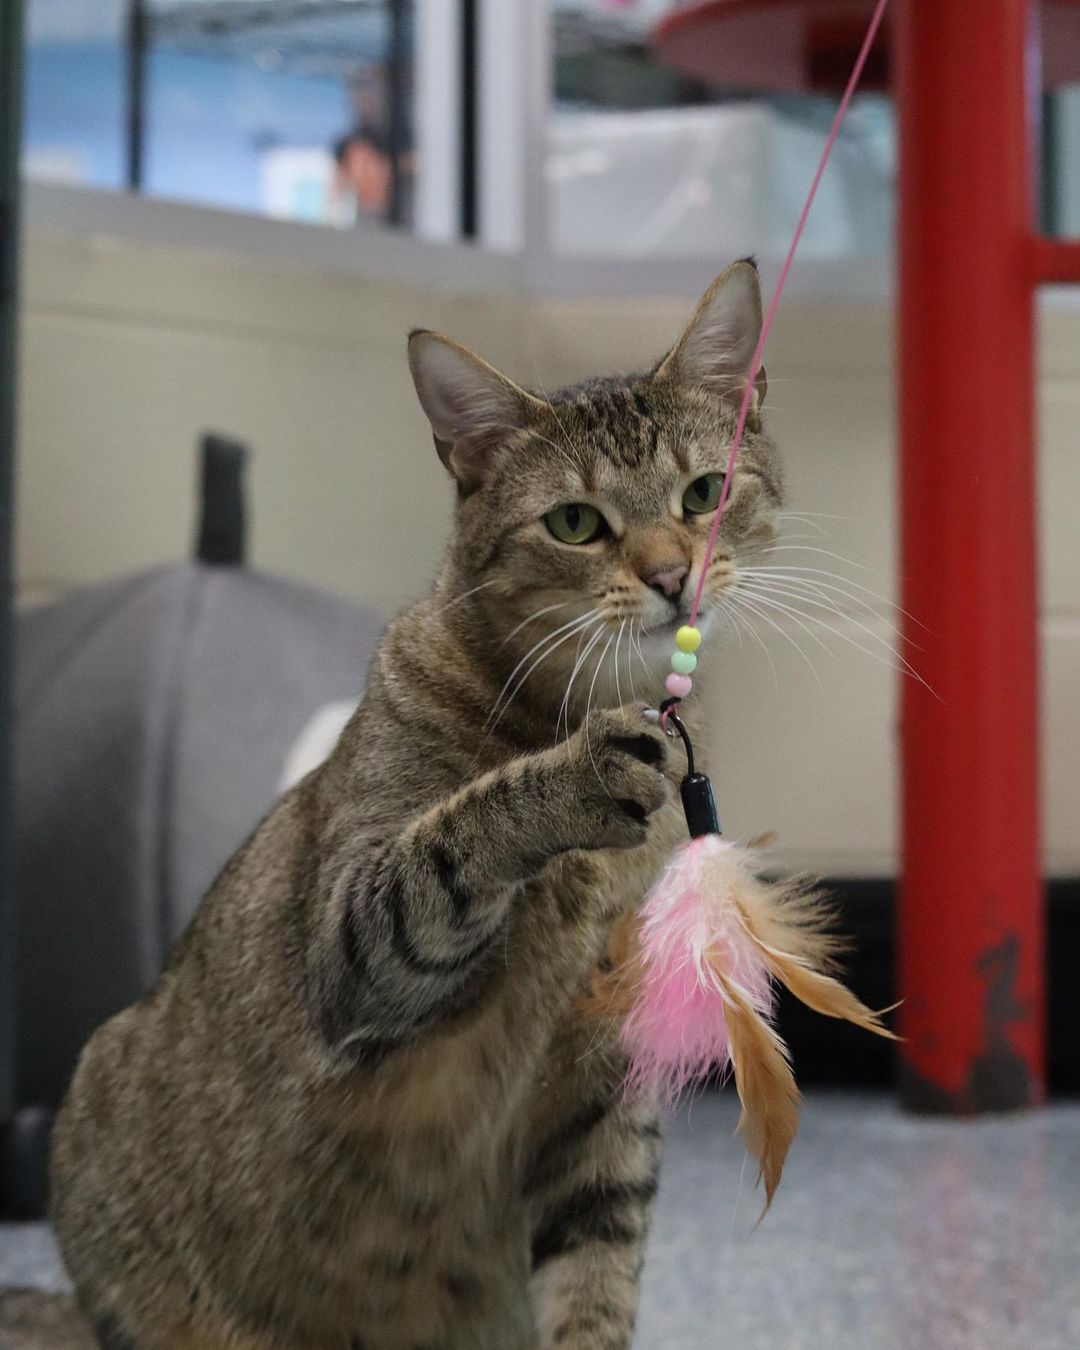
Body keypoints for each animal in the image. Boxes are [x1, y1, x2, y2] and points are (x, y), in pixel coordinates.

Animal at [50, 257, 783, 1344]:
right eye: (575, 522)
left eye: (707, 492)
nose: (670, 576)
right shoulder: (355, 943)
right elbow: (454, 841)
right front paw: (575, 776)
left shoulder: (602, 1095)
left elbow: (596, 1276)